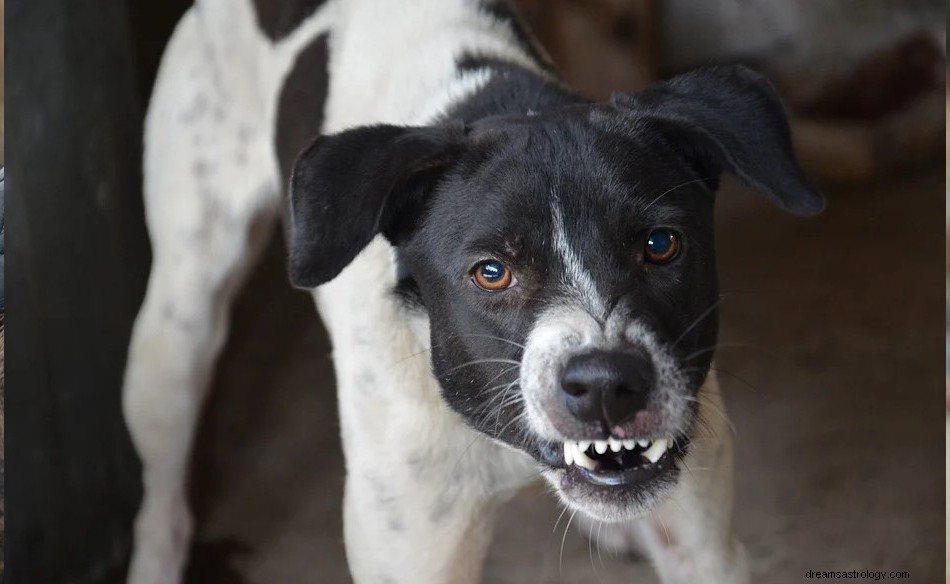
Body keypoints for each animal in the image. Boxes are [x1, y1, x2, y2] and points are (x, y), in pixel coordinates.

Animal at [121, 1, 824, 584]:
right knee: (161, 498)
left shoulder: (704, 546)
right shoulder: (414, 552)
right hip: (176, 330)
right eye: (490, 272)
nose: (605, 383)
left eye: (660, 244)